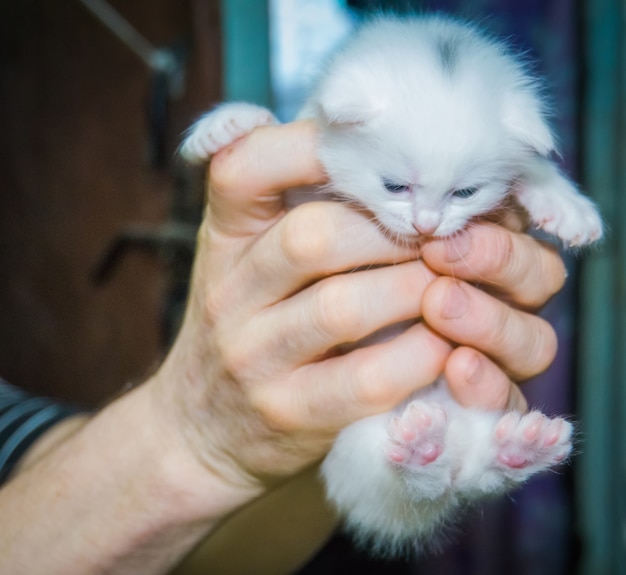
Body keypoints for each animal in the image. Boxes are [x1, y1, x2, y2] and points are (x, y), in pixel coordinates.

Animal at [179, 14, 600, 560]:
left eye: (465, 193)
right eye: (394, 186)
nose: (426, 225)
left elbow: (526, 165)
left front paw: (560, 199)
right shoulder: (301, 195)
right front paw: (232, 121)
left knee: (467, 482)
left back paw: (511, 451)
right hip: (356, 449)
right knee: (413, 486)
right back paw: (428, 454)